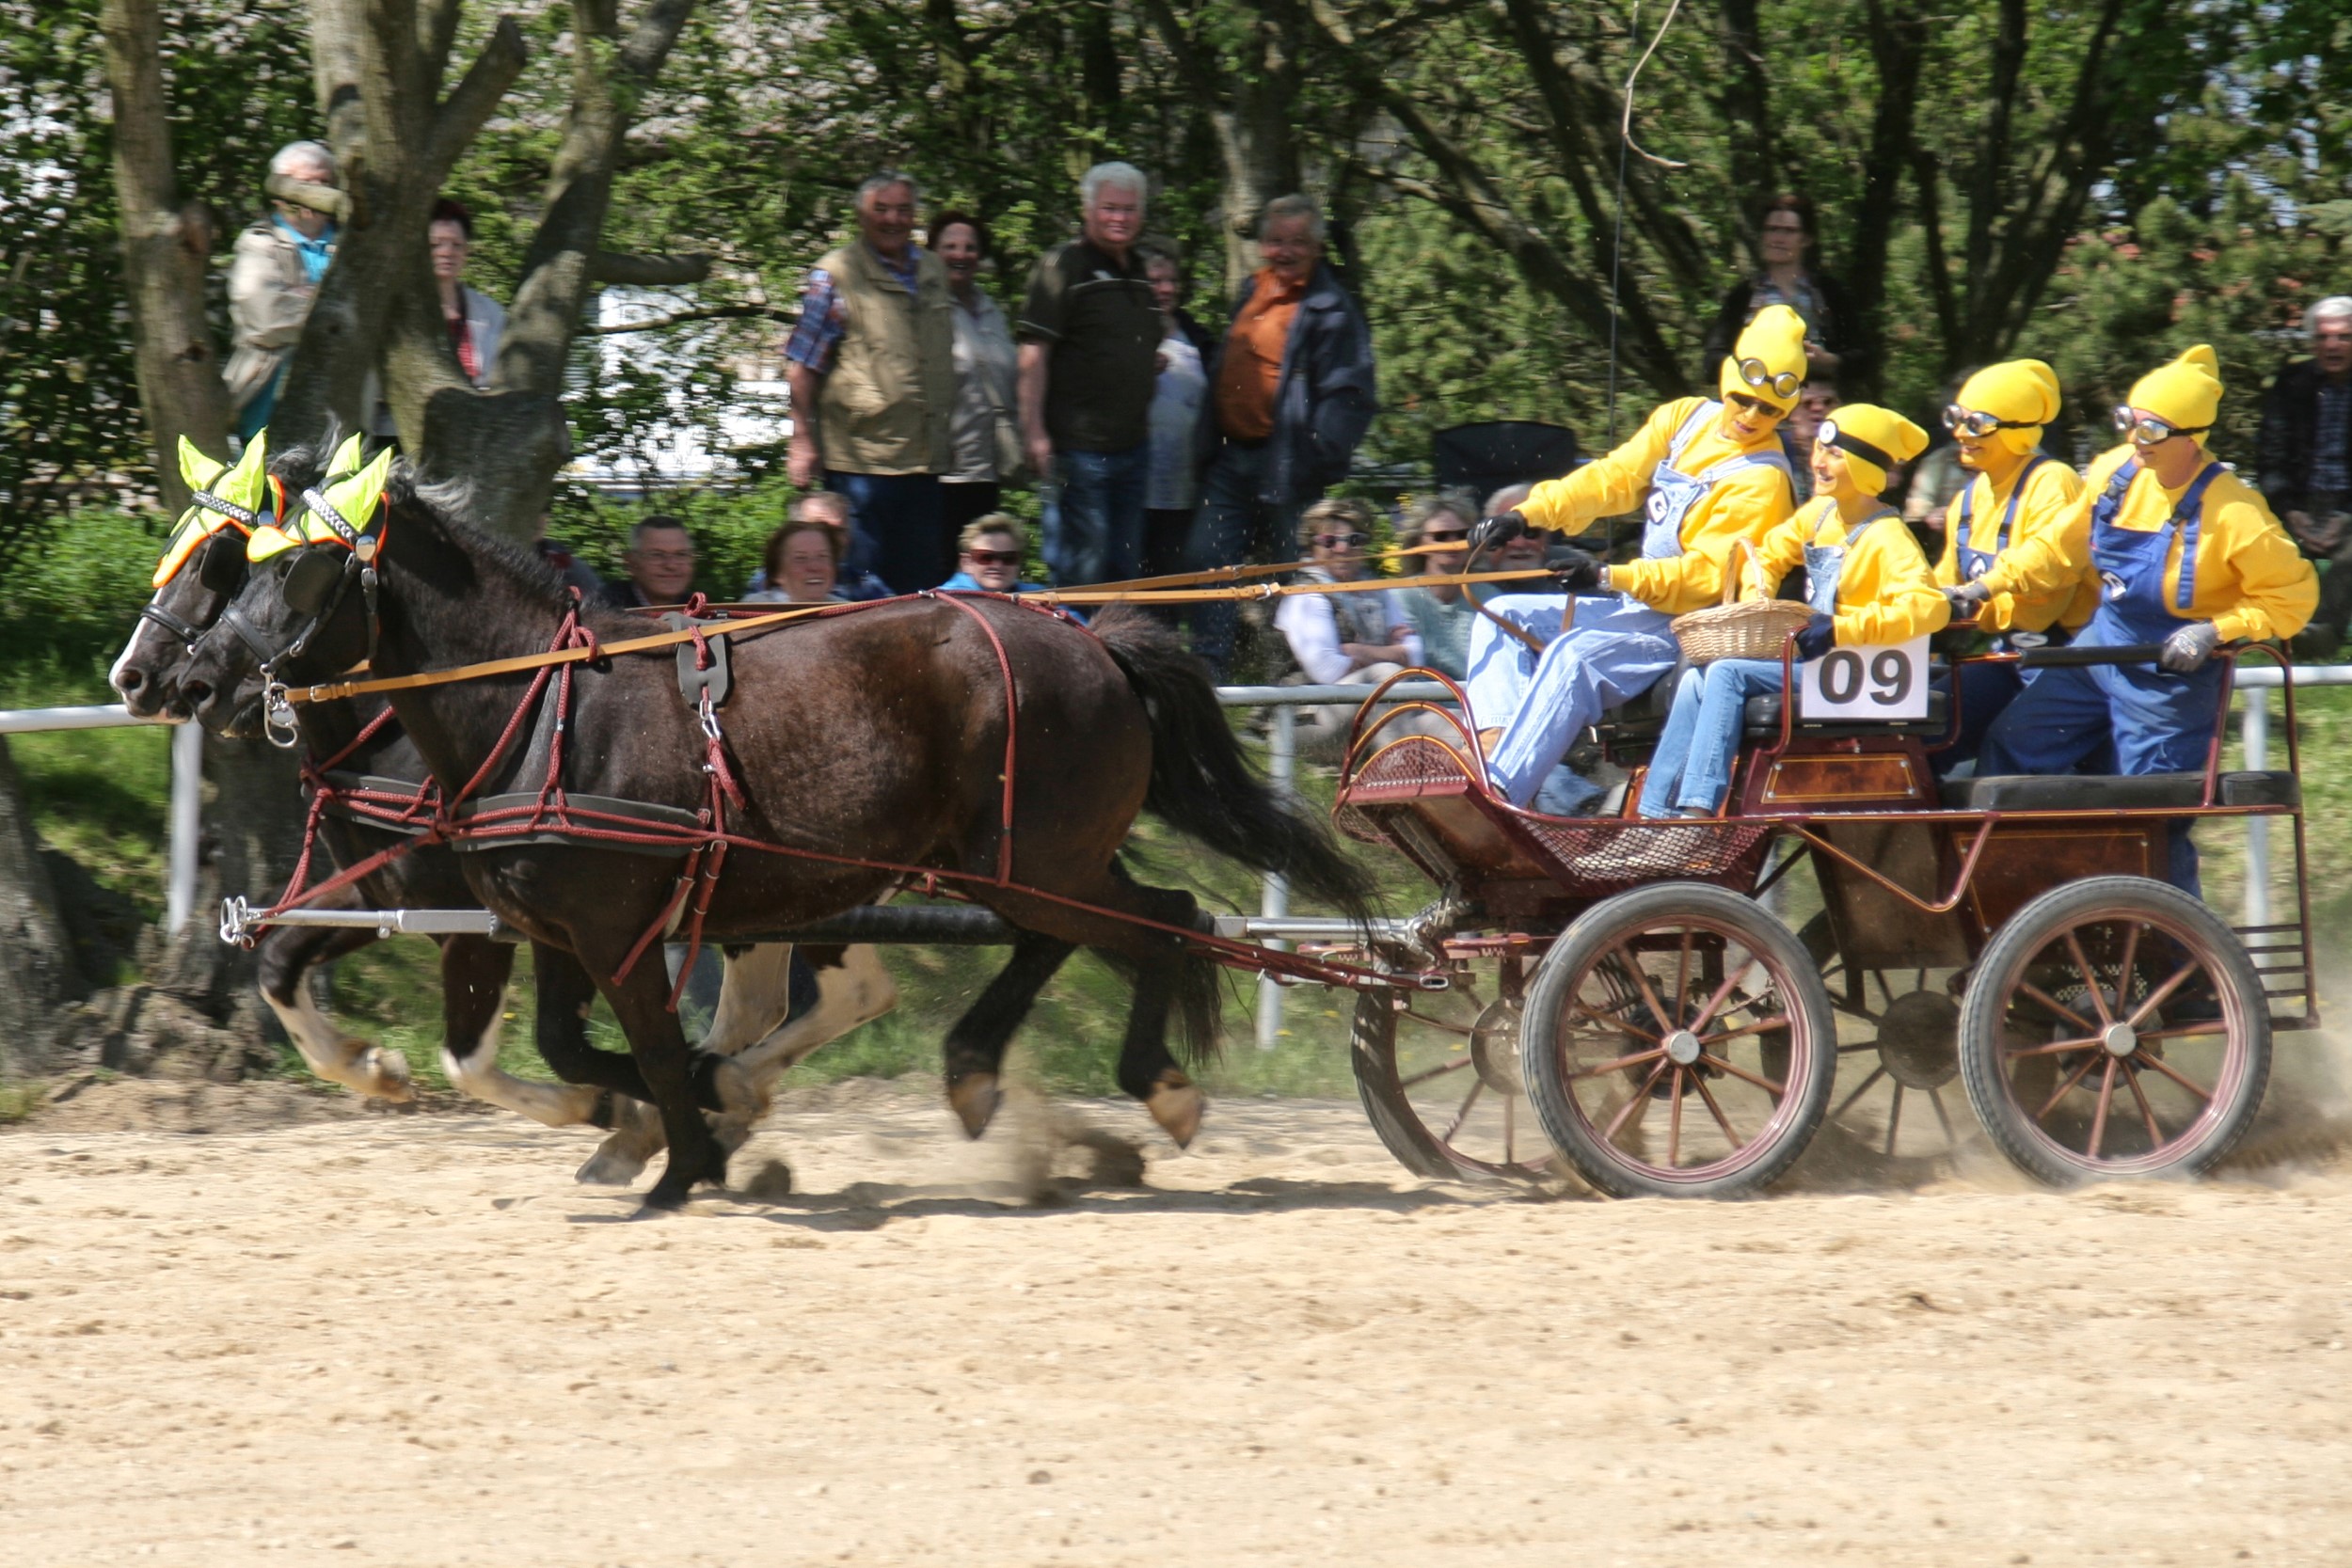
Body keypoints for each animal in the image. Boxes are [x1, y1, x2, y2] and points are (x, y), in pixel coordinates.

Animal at [111, 439, 893, 1184]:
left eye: (218, 561)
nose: (143, 678)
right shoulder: (382, 888)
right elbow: (277, 967)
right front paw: (374, 1068)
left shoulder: (480, 919)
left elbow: (471, 1058)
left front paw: (607, 1106)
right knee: (804, 999)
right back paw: (695, 1116)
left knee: (843, 992)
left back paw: (691, 1112)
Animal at [179, 450, 1372, 1209]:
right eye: (234, 565)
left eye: (288, 570)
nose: (179, 678)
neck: (536, 708)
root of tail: (1090, 637)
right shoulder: (553, 922)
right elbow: (575, 1043)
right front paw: (684, 1118)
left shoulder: (582, 927)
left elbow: (641, 1047)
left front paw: (681, 1156)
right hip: (996, 862)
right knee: (1067, 937)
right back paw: (973, 1071)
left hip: (1031, 859)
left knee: (1163, 917)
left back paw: (1153, 1084)